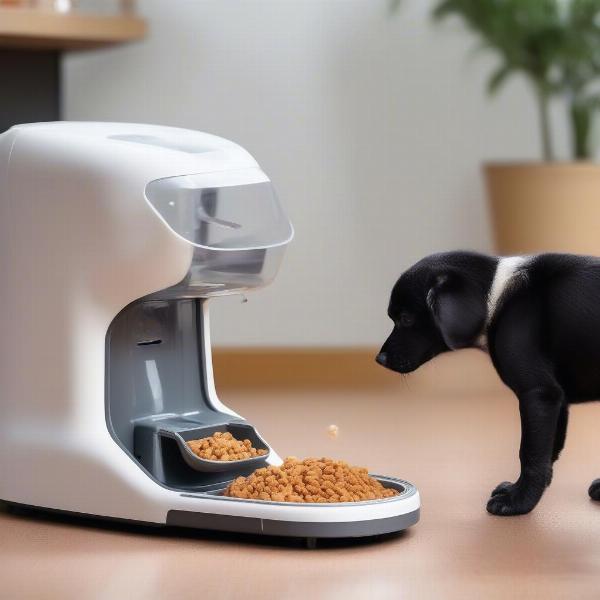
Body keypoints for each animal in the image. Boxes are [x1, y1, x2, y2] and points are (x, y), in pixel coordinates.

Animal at [378, 251, 600, 516]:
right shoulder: (557, 399)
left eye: (406, 318)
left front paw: (519, 500)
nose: (379, 359)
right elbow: (550, 451)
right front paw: (523, 490)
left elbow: (531, 454)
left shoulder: (539, 394)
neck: (496, 295)